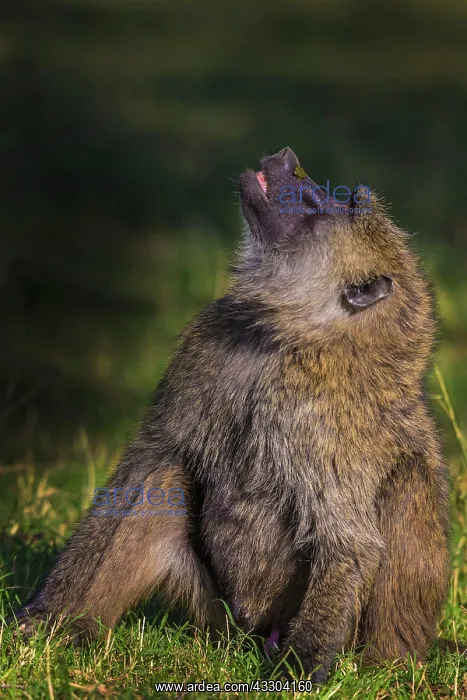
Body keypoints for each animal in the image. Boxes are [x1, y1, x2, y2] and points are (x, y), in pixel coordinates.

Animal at [12, 147, 450, 684]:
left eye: (343, 205)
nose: (287, 157)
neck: (290, 335)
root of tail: (251, 632)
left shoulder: (324, 416)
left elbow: (348, 540)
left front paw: (301, 666)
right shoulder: (209, 341)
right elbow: (142, 466)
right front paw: (43, 618)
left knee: (405, 477)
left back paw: (376, 668)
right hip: (216, 618)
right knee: (162, 479)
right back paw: (77, 633)